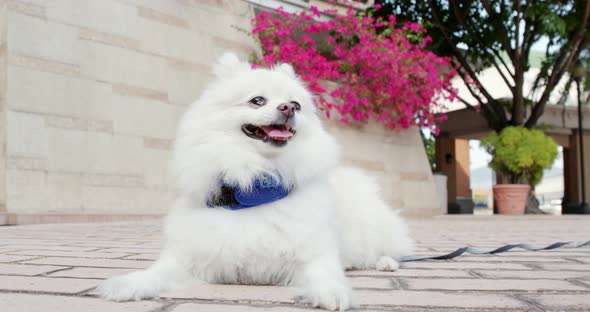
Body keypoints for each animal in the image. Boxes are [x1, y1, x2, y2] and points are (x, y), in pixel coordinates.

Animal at [97, 52, 414, 310]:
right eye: (257, 100)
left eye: (297, 104)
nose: (288, 108)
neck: (253, 185)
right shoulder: (190, 257)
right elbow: (156, 273)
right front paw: (130, 283)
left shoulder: (313, 253)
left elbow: (324, 273)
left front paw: (332, 292)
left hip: (370, 232)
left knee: (386, 249)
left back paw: (386, 263)